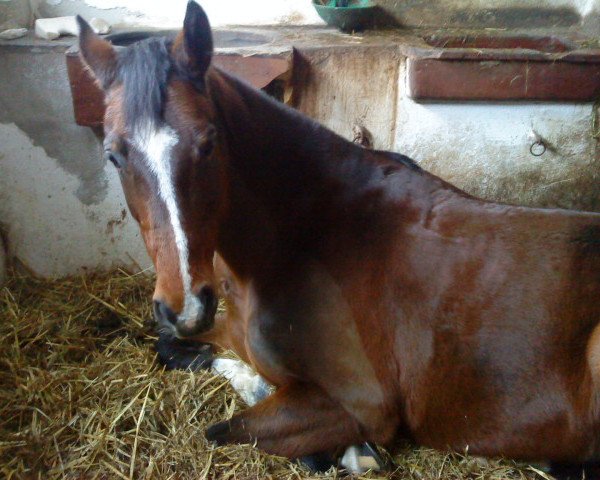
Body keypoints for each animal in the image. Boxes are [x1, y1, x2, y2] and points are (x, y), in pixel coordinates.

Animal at [77, 0, 600, 472]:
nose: (186, 306)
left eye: (208, 143)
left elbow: (225, 428)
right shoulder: (228, 330)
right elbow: (172, 348)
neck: (298, 241)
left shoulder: (365, 404)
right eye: (113, 155)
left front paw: (351, 452)